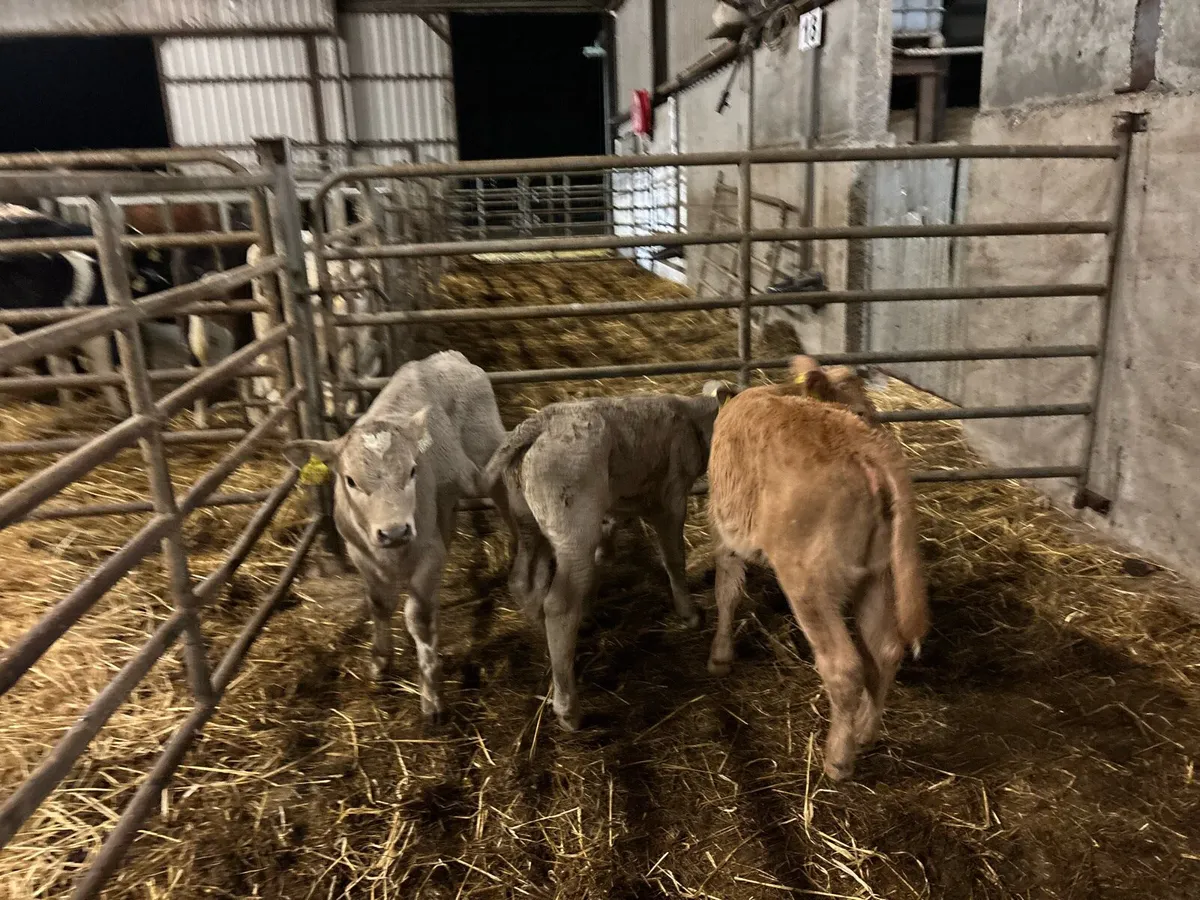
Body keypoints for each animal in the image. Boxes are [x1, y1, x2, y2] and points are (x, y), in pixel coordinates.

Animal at [281, 350, 520, 722]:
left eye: (411, 471)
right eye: (350, 480)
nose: (394, 530)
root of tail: (447, 357)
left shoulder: (430, 554)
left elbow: (418, 617)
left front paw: (431, 696)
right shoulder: (360, 553)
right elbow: (379, 604)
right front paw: (381, 662)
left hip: (487, 450)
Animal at [479, 384, 735, 732]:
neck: (693, 419)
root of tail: (537, 424)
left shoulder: (615, 508)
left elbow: (604, 556)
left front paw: (590, 608)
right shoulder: (670, 498)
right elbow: (673, 558)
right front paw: (690, 613)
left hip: (527, 521)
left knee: (523, 582)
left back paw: (555, 644)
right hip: (572, 526)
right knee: (558, 604)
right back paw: (568, 708)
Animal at [705, 356, 929, 781]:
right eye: (863, 409)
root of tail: (867, 451)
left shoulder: (726, 533)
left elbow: (727, 592)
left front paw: (720, 656)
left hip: (809, 581)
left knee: (844, 666)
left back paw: (838, 759)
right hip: (879, 575)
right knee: (885, 648)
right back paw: (865, 731)